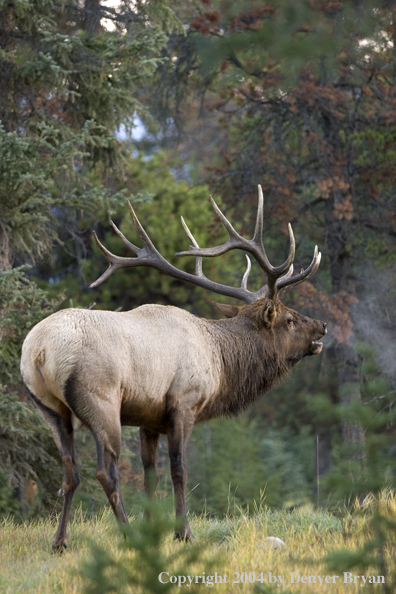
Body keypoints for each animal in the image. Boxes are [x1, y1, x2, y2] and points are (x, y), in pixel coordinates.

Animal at [20, 184, 326, 544]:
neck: (220, 362)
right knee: (104, 471)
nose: (322, 326)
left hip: (49, 408)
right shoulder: (184, 403)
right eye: (290, 319)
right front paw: (183, 532)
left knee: (69, 471)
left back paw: (60, 540)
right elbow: (178, 470)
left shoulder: (148, 417)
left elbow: (150, 473)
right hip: (100, 399)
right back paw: (126, 534)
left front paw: (154, 527)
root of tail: (39, 351)